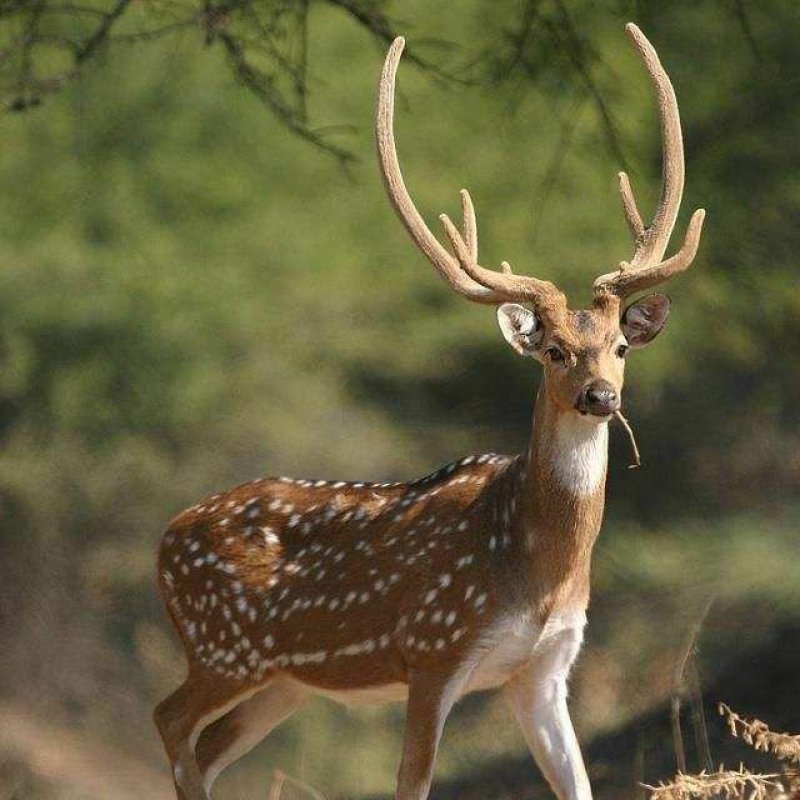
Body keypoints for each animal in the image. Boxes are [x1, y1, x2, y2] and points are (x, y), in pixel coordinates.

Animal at [156, 21, 708, 800]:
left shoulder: (544, 668)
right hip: (221, 647)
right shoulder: (433, 647)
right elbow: (412, 780)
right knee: (170, 721)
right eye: (554, 351)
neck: (538, 568)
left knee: (206, 746)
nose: (602, 397)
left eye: (620, 347)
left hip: (284, 681)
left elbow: (577, 783)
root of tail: (163, 540)